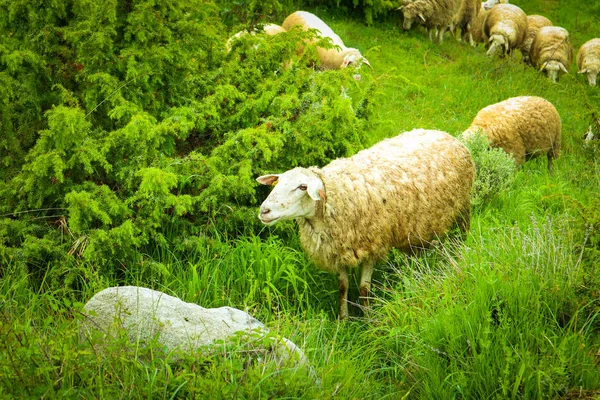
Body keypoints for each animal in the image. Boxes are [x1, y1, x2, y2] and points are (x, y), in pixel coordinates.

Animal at [255, 128, 476, 318]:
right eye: (278, 183)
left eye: (302, 187)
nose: (264, 211)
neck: (335, 196)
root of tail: (443, 133)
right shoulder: (338, 251)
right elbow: (342, 286)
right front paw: (343, 319)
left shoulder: (373, 246)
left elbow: (364, 288)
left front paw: (369, 319)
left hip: (463, 207)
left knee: (463, 234)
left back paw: (461, 256)